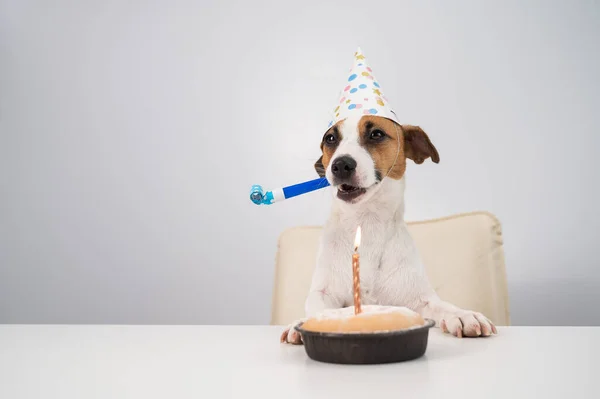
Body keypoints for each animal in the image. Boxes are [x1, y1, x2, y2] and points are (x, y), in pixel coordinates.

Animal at [282, 112, 496, 344]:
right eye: (330, 138)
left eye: (376, 134)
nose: (340, 165)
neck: (367, 222)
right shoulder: (323, 293)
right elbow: (320, 308)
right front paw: (299, 323)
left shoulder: (420, 299)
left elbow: (440, 305)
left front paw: (463, 315)